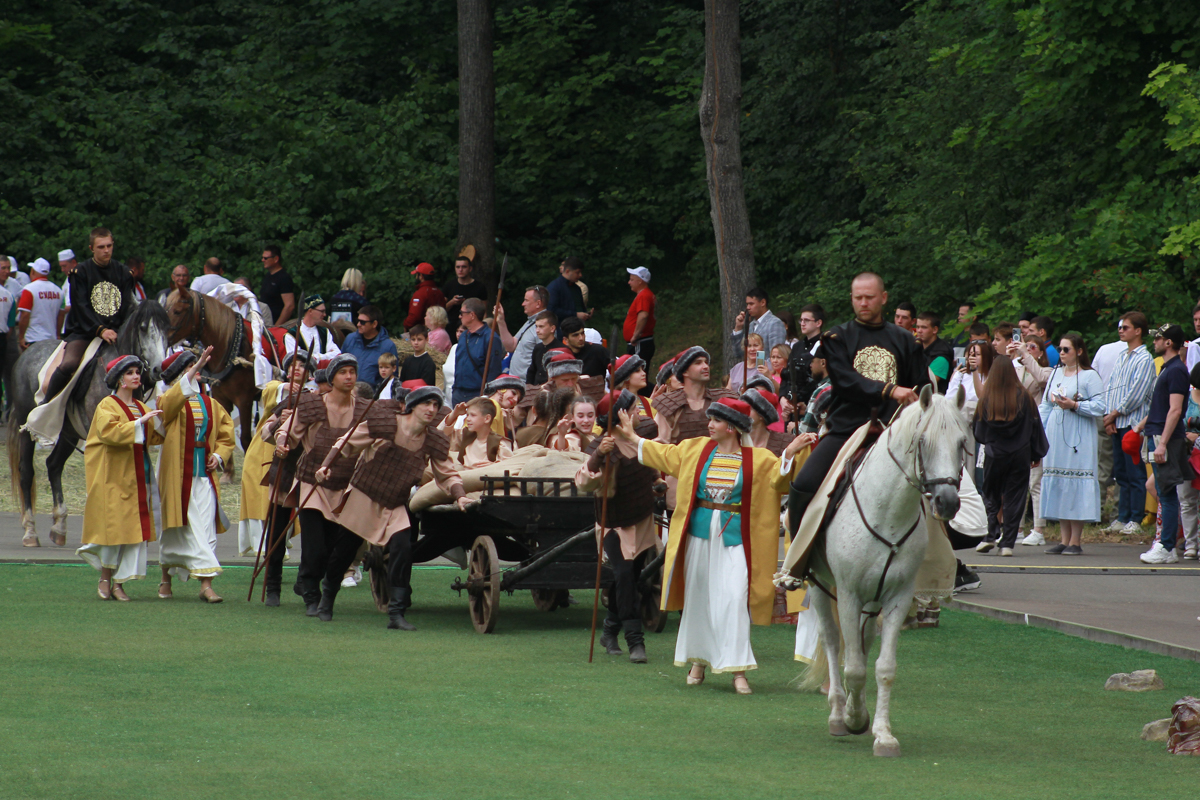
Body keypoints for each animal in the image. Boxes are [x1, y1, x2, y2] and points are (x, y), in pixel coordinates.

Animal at [7, 302, 169, 551]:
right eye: (143, 327)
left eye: (166, 328)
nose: (159, 370)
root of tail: (26, 354)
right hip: (27, 428)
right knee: (26, 472)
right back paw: (30, 532)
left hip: (69, 433)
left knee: (54, 466)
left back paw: (59, 527)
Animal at [801, 386, 969, 758]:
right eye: (922, 441)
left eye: (962, 442)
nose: (948, 502)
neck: (888, 511)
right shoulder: (848, 594)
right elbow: (853, 667)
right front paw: (852, 718)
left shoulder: (897, 597)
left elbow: (883, 668)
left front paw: (882, 732)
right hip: (820, 586)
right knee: (833, 642)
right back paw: (838, 714)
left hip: (871, 601)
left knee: (861, 643)